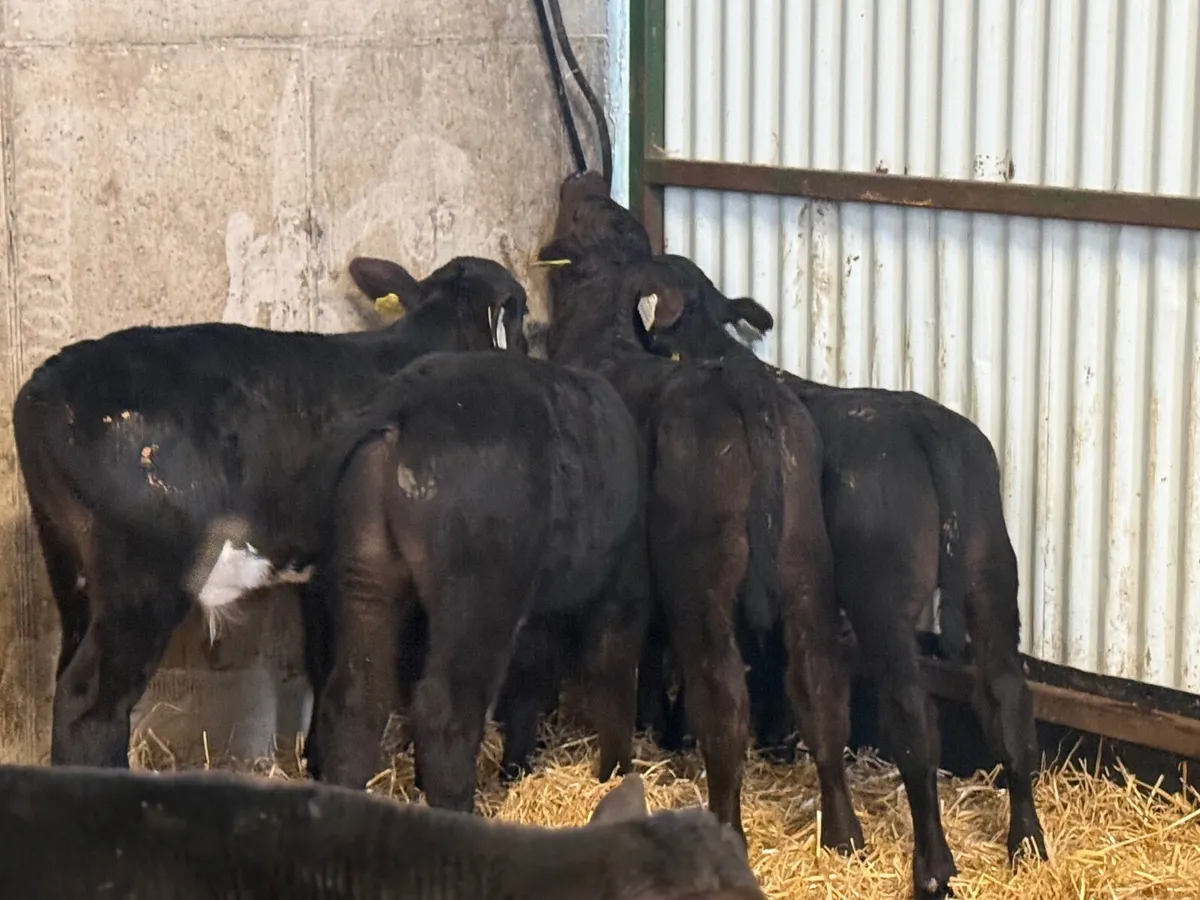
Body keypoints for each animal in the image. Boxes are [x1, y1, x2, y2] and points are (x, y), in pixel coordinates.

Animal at [11, 255, 528, 774]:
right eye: (523, 315)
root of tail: (41, 391)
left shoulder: (324, 567)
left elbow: (324, 661)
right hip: (141, 579)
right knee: (89, 704)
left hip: (71, 569)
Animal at [309, 344, 651, 812]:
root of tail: (408, 401)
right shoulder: (621, 586)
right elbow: (613, 672)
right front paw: (617, 774)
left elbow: (528, 683)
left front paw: (516, 769)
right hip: (478, 593)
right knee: (447, 715)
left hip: (367, 575)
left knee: (356, 699)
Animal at [530, 170, 865, 857]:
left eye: (581, 215)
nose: (584, 173)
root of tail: (745, 388)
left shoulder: (624, 580)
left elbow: (614, 662)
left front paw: (612, 770)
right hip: (805, 567)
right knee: (820, 689)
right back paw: (844, 834)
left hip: (701, 580)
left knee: (723, 697)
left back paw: (726, 826)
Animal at [631, 252, 1049, 898]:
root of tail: (928, 427)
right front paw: (778, 741)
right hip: (991, 579)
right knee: (1007, 698)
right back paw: (1026, 843)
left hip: (881, 600)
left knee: (910, 716)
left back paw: (933, 866)